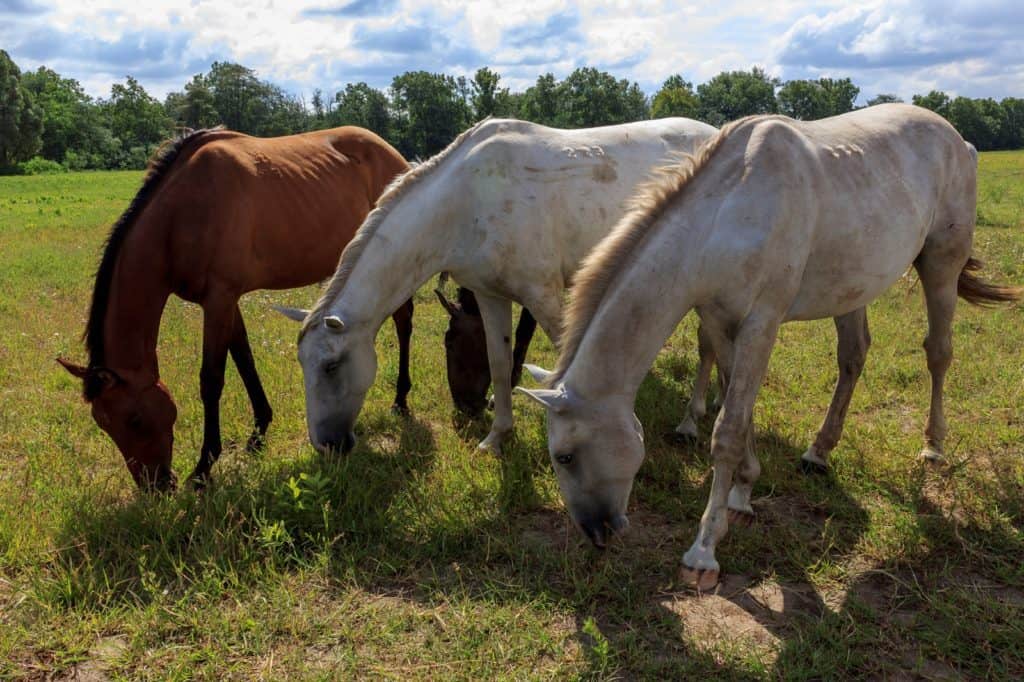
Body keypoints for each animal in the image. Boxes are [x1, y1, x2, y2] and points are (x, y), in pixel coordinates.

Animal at [58, 126, 413, 491]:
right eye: (103, 424)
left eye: (135, 419)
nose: (156, 486)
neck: (179, 217)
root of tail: (389, 151)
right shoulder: (227, 301)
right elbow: (244, 360)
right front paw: (258, 434)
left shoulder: (219, 299)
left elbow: (212, 379)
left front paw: (203, 467)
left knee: (404, 324)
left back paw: (400, 400)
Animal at [277, 117, 717, 455]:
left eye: (331, 366)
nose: (326, 444)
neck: (466, 203)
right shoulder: (491, 296)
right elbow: (501, 362)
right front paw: (498, 435)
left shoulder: (544, 296)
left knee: (708, 344)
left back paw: (693, 421)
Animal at [516, 104, 1019, 590]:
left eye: (565, 455)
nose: (597, 533)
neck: (726, 216)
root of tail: (960, 140)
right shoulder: (721, 323)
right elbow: (741, 409)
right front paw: (742, 493)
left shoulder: (762, 323)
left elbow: (728, 430)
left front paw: (703, 552)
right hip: (853, 287)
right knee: (853, 356)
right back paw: (818, 452)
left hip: (941, 264)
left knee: (938, 352)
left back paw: (933, 446)